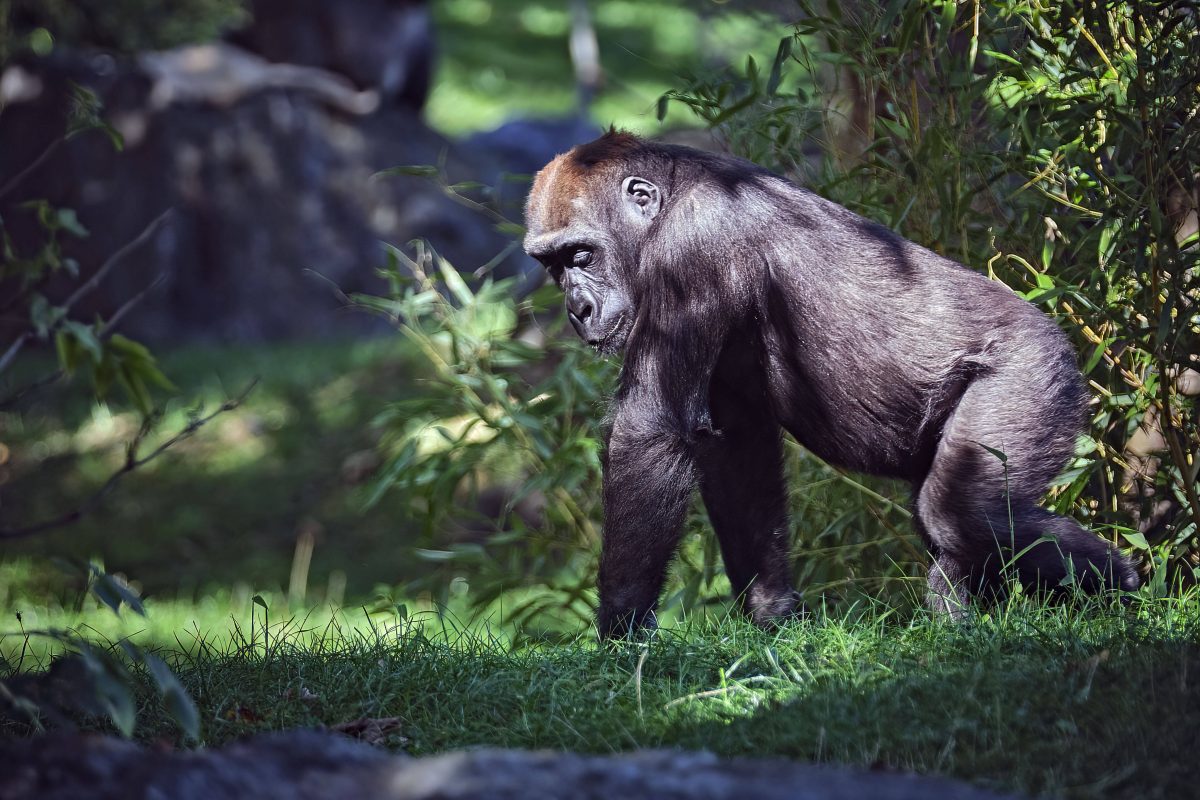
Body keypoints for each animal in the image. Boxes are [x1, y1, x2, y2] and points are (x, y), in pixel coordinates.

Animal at [523, 131, 1132, 638]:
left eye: (582, 255)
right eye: (553, 267)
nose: (577, 309)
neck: (669, 198)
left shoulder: (690, 248)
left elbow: (651, 428)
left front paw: (622, 632)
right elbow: (736, 447)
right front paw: (771, 613)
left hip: (1033, 370)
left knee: (962, 511)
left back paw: (1121, 589)